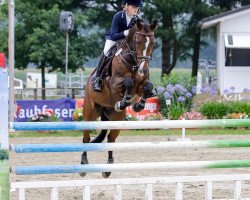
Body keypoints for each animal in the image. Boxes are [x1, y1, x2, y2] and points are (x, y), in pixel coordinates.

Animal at [81, 19, 157, 178]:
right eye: (138, 42)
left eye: (153, 43)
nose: (143, 69)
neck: (133, 62)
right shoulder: (114, 84)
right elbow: (127, 82)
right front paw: (124, 101)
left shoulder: (141, 86)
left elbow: (147, 86)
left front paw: (137, 106)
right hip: (90, 113)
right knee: (86, 137)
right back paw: (83, 164)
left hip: (116, 118)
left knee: (111, 139)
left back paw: (108, 168)